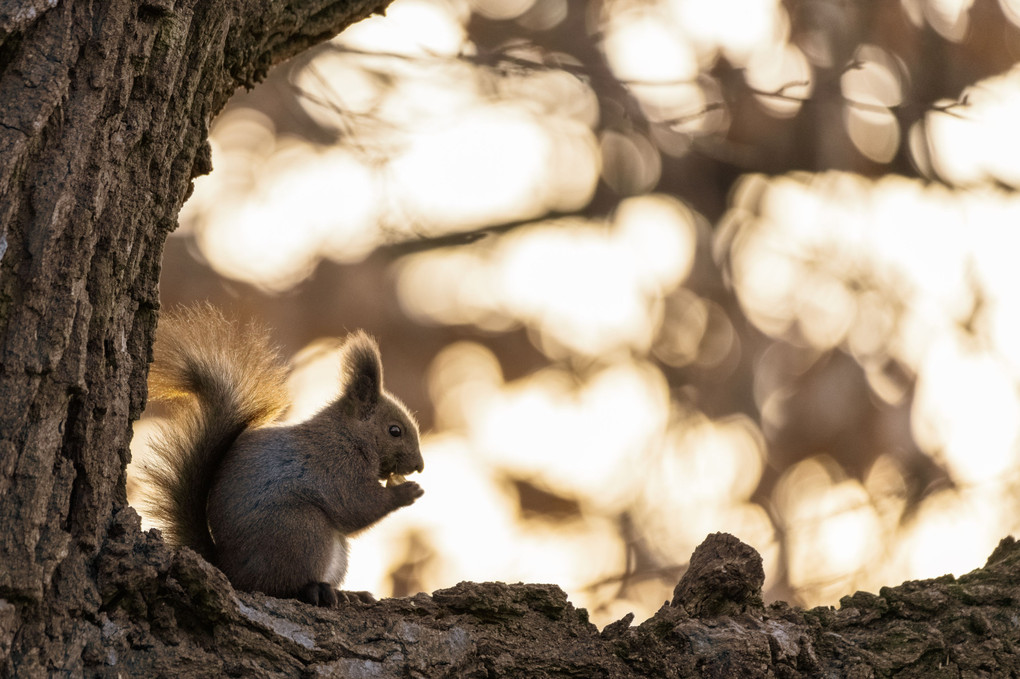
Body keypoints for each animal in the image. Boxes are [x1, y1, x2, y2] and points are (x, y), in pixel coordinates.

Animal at [134, 301, 422, 603]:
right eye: (394, 431)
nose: (420, 465)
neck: (348, 435)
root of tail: (230, 570)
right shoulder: (336, 467)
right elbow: (357, 506)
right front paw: (407, 492)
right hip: (302, 531)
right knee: (281, 586)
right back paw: (315, 589)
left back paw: (349, 594)